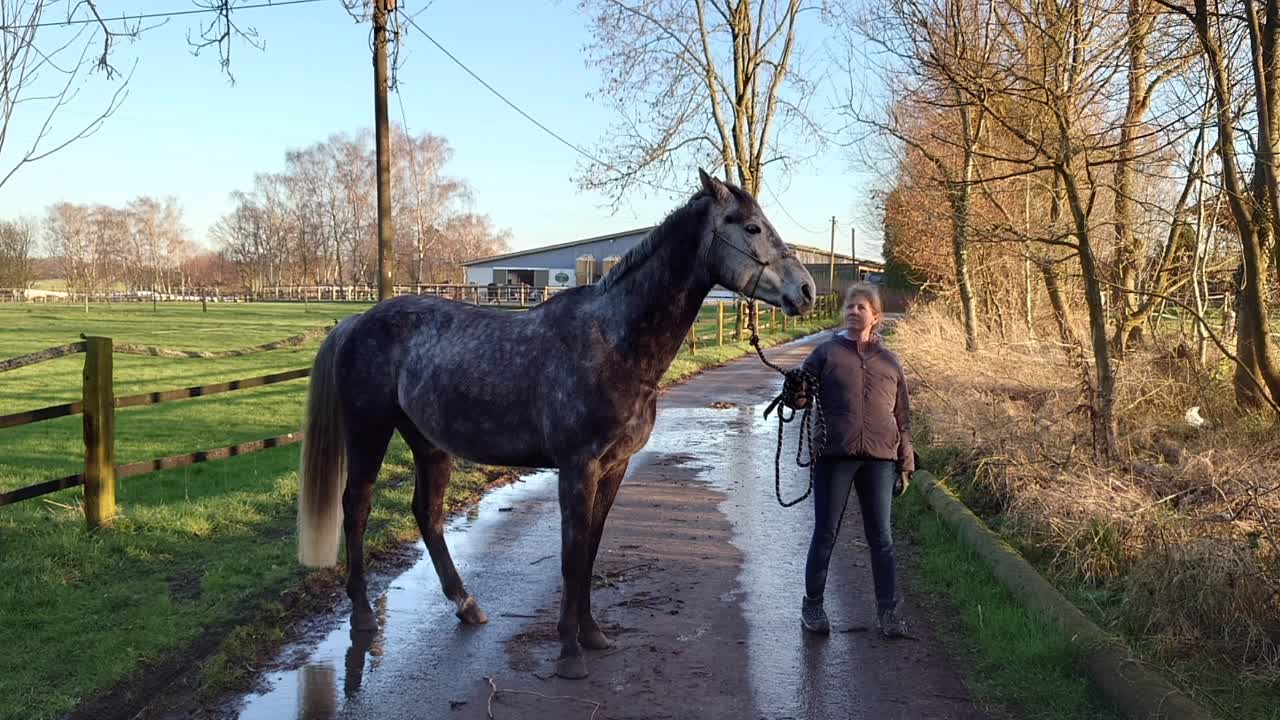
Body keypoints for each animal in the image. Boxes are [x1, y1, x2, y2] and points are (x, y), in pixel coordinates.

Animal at [296, 168, 817, 679]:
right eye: (750, 227)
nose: (807, 290)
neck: (615, 343)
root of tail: (357, 320)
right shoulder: (577, 467)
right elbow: (571, 555)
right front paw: (569, 652)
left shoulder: (613, 468)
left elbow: (589, 551)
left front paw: (592, 635)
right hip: (369, 432)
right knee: (356, 508)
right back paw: (364, 616)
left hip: (429, 443)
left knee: (427, 513)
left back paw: (466, 605)